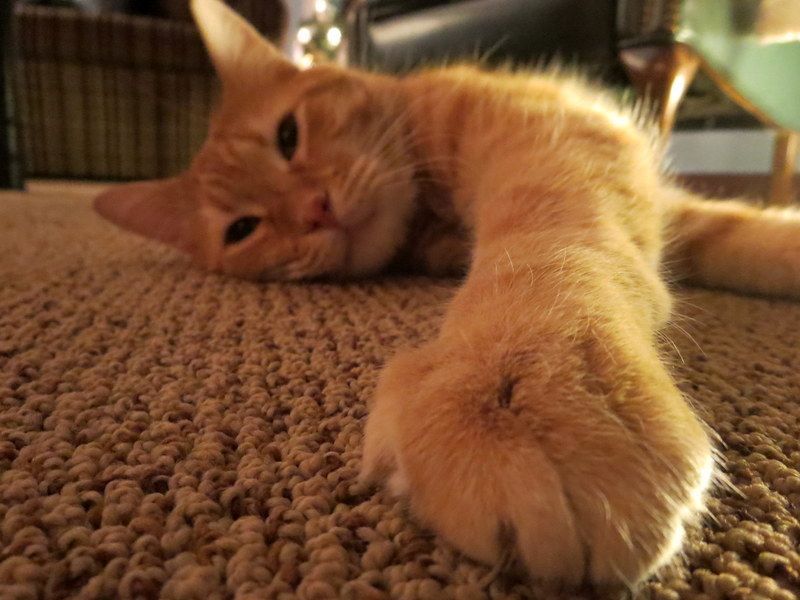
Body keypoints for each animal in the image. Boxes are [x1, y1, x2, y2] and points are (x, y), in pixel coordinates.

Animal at [95, 0, 800, 592]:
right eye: (243, 229)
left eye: (288, 135)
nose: (316, 210)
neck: (426, 217)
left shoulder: (557, 133)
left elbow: (554, 238)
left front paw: (537, 382)